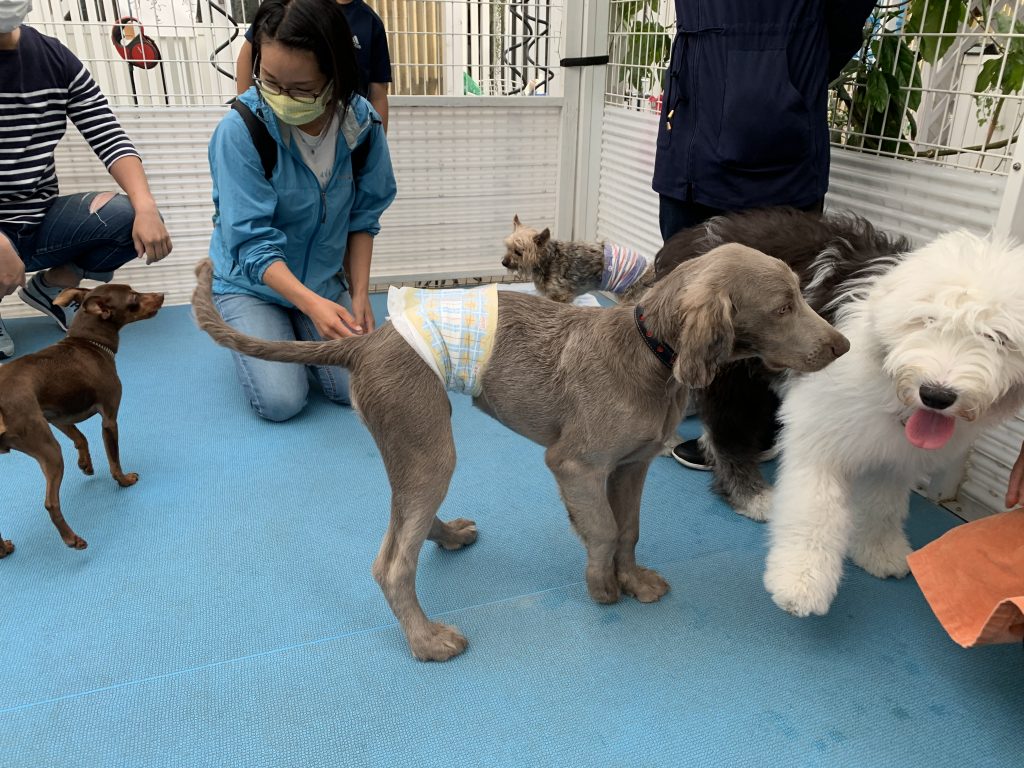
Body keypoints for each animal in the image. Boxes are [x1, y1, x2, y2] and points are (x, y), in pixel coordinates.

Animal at [0, 284, 162, 561]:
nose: (162, 295)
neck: (88, 342)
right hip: (49, 450)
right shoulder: (109, 419)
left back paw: (3, 549)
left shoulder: (56, 417)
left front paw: (86, 464)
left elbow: (80, 437)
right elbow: (114, 459)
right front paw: (123, 480)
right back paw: (72, 539)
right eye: (133, 297)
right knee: (51, 503)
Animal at [190, 244, 847, 663]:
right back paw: (427, 642)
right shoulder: (575, 465)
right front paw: (601, 587)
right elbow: (602, 530)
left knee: (406, 522)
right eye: (783, 306)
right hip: (429, 443)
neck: (650, 353)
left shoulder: (631, 467)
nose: (842, 345)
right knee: (391, 562)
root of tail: (364, 342)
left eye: (799, 295)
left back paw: (448, 536)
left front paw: (633, 580)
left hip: (418, 449)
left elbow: (629, 529)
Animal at [503, 215, 655, 305]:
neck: (548, 259)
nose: (503, 262)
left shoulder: (560, 295)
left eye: (518, 252)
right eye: (508, 247)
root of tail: (651, 270)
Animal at [765, 230, 1024, 618]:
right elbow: (815, 510)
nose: (936, 395)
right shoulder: (820, 436)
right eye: (927, 320)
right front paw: (801, 581)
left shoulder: (895, 457)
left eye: (997, 337)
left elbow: (884, 506)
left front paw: (880, 552)